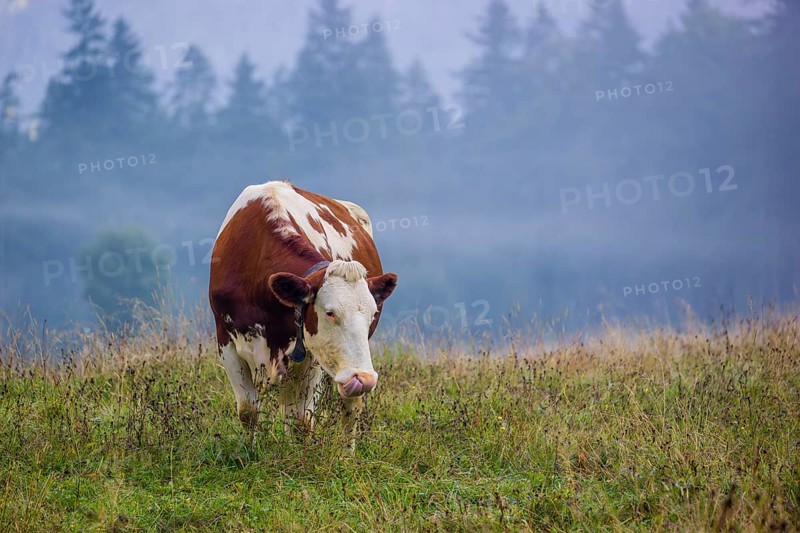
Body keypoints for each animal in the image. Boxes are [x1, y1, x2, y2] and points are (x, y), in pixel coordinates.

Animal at [209, 180, 397, 449]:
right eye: (330, 312)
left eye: (373, 314)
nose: (365, 379)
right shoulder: (226, 341)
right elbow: (248, 410)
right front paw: (249, 452)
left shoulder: (310, 356)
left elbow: (300, 421)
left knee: (350, 407)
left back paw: (346, 453)